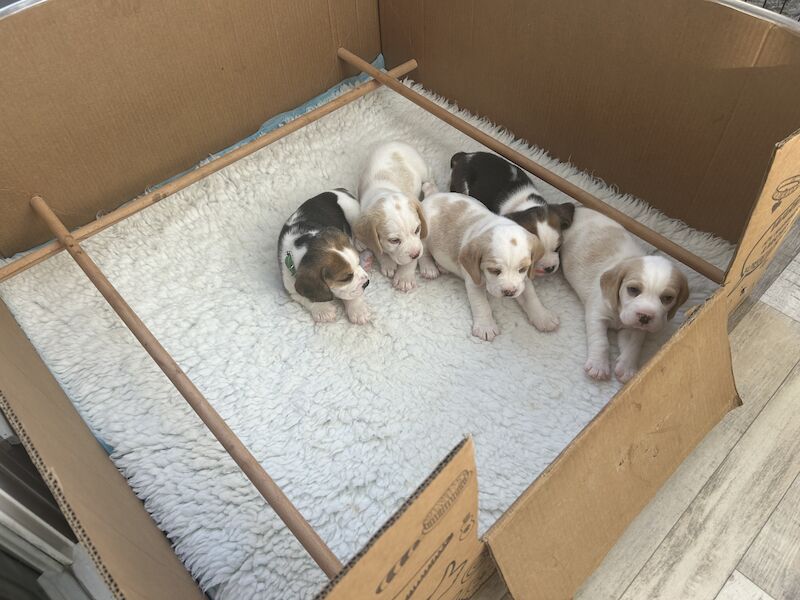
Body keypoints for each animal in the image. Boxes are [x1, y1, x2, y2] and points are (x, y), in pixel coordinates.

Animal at [278, 191, 372, 324]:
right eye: (345, 278)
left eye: (357, 263)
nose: (367, 283)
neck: (306, 244)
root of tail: (338, 189)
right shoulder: (290, 287)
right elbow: (307, 298)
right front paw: (323, 310)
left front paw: (358, 310)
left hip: (351, 210)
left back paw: (360, 244)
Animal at [354, 141, 434, 290]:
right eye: (394, 240)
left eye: (417, 230)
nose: (415, 254)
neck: (383, 193)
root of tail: (396, 142)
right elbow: (378, 249)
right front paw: (387, 262)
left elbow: (410, 261)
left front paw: (404, 277)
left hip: (423, 170)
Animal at [418, 192, 556, 342]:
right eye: (494, 270)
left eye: (522, 270)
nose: (509, 292)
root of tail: (432, 196)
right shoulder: (474, 280)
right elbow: (481, 304)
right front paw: (486, 327)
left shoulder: (523, 281)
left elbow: (531, 297)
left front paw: (543, 317)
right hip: (423, 235)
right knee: (424, 253)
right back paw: (429, 268)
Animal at [560, 209, 692, 382]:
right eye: (633, 290)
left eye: (667, 298)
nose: (645, 317)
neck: (619, 313)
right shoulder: (597, 315)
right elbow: (601, 342)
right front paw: (598, 366)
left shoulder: (635, 329)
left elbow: (633, 346)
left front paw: (628, 368)